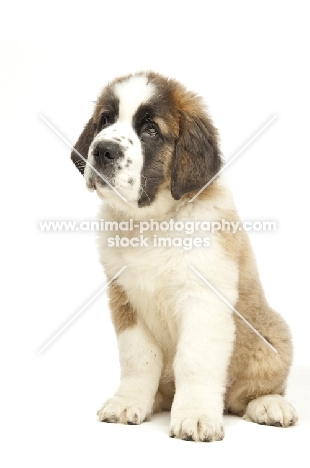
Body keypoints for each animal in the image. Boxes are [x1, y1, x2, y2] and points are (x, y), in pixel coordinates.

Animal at [71, 71, 298, 440]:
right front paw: (128, 401)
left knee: (251, 392)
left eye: (151, 130)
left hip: (272, 335)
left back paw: (269, 405)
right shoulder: (125, 299)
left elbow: (195, 360)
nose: (103, 149)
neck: (152, 223)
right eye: (105, 120)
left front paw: (195, 416)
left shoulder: (204, 299)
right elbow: (137, 357)